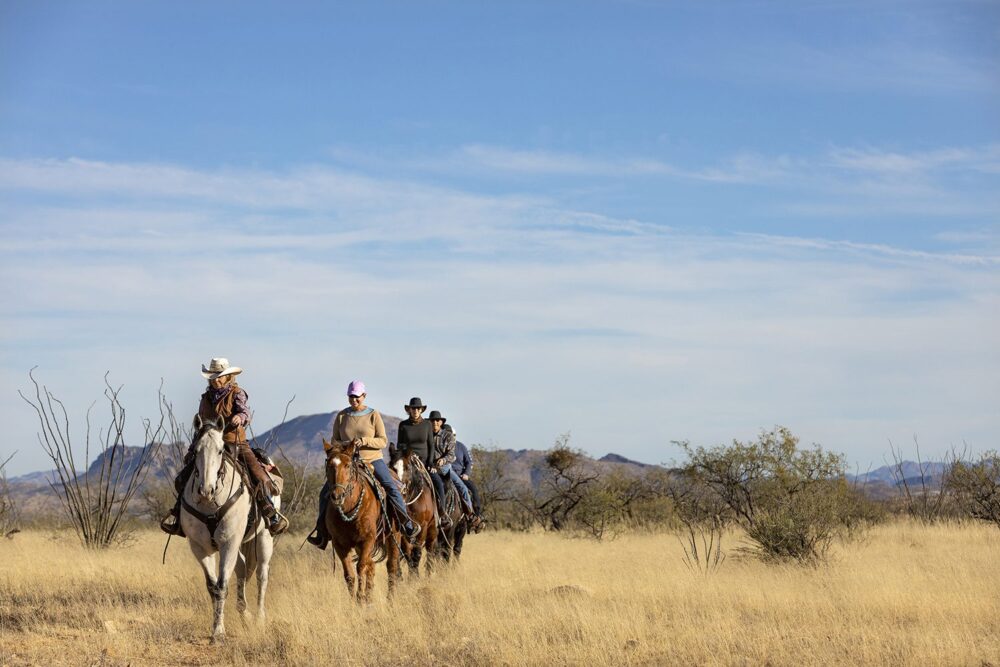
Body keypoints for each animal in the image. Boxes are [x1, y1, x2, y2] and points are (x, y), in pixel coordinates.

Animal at [180, 418, 278, 640]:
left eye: (220, 450)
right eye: (195, 450)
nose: (206, 489)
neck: (210, 503)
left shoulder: (229, 542)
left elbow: (223, 585)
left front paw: (218, 632)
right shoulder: (200, 547)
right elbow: (213, 587)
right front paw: (217, 627)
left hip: (264, 538)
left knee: (262, 576)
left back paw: (259, 618)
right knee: (241, 568)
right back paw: (245, 613)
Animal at [320, 440, 398, 604]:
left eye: (348, 465)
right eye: (328, 465)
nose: (337, 496)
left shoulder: (367, 539)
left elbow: (361, 567)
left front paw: (360, 597)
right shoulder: (340, 544)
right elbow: (349, 574)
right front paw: (354, 602)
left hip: (394, 535)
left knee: (391, 565)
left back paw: (390, 598)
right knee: (372, 565)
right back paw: (369, 597)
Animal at [390, 448, 438, 576]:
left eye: (407, 467)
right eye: (392, 467)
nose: (399, 488)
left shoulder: (423, 527)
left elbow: (417, 553)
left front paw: (415, 577)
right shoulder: (403, 530)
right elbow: (408, 553)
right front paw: (412, 575)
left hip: (432, 530)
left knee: (430, 551)